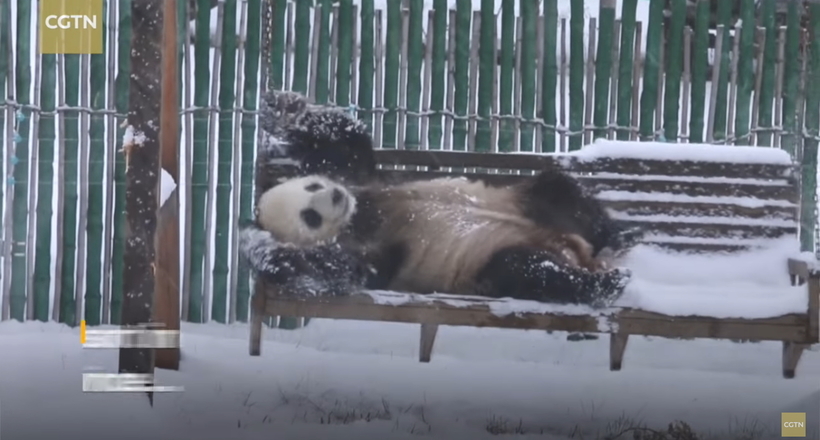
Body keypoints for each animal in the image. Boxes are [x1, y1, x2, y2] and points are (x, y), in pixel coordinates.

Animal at [239, 91, 648, 308]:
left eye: (312, 187)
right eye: (310, 216)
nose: (335, 197)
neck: (361, 214)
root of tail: (576, 250)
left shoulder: (358, 178)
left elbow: (347, 145)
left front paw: (282, 108)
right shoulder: (368, 252)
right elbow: (340, 271)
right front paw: (275, 254)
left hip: (527, 202)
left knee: (559, 192)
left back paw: (619, 236)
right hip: (482, 264)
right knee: (527, 271)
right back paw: (603, 284)